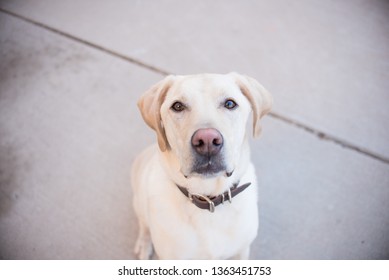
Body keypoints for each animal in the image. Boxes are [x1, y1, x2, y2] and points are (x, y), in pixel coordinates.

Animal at [132, 72, 272, 260]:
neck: (208, 200)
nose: (207, 141)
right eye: (178, 106)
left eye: (230, 104)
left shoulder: (241, 252)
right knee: (144, 225)